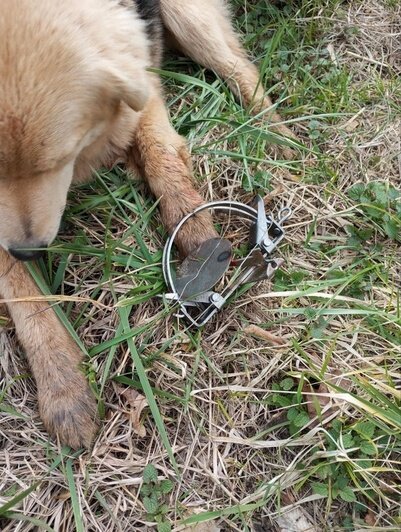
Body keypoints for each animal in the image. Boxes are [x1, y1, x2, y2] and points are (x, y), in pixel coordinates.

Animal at [0, 0, 294, 448]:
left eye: (59, 159)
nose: (27, 251)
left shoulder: (141, 84)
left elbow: (162, 154)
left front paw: (197, 234)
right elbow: (26, 299)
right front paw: (63, 386)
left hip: (189, 18)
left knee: (239, 68)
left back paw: (276, 133)